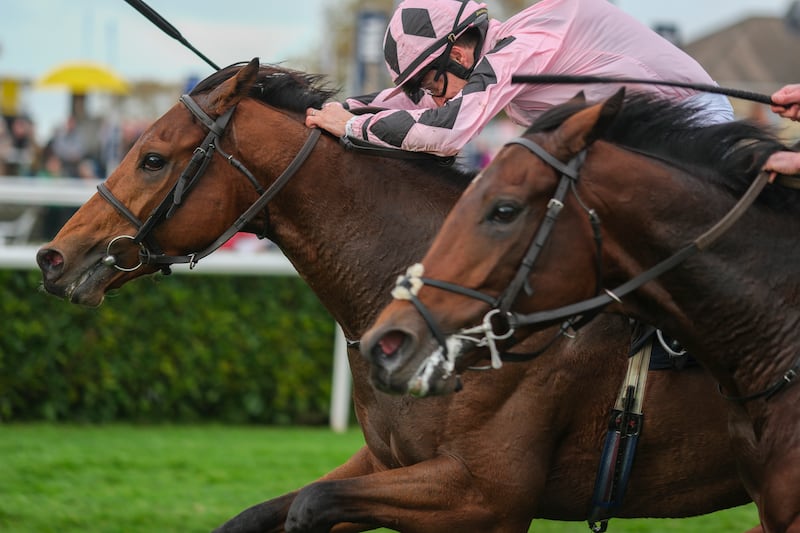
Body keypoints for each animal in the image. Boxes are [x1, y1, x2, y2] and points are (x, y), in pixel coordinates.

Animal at [36, 60, 752, 528]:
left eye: (153, 158)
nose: (52, 257)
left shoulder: (485, 496)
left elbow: (310, 506)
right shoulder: (384, 459)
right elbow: (266, 512)